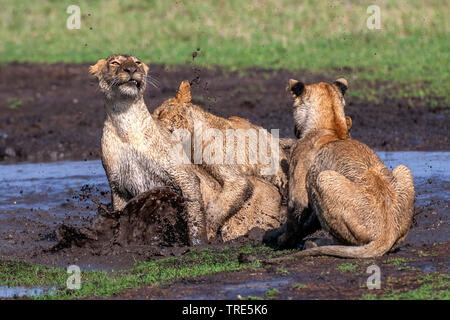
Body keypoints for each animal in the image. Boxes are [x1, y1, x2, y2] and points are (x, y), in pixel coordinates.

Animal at [270, 77, 414, 260]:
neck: (334, 127)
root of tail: (387, 235)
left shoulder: (299, 172)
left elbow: (295, 213)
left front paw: (282, 241)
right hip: (404, 169)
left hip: (323, 179)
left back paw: (315, 243)